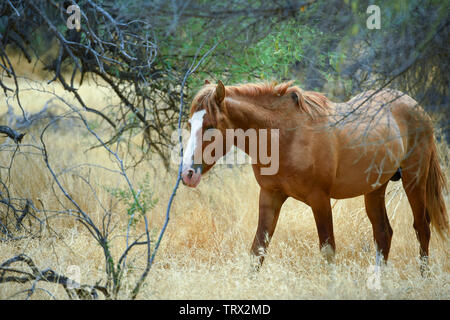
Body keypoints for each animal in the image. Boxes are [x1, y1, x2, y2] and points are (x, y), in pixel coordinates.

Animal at [181, 79, 448, 272]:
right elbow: (258, 250)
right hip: (375, 188)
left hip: (414, 180)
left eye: (211, 126)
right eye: (189, 125)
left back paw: (424, 278)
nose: (187, 174)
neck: (285, 137)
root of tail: (416, 107)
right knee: (383, 233)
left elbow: (328, 251)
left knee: (421, 228)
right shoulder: (270, 196)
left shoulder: (320, 199)